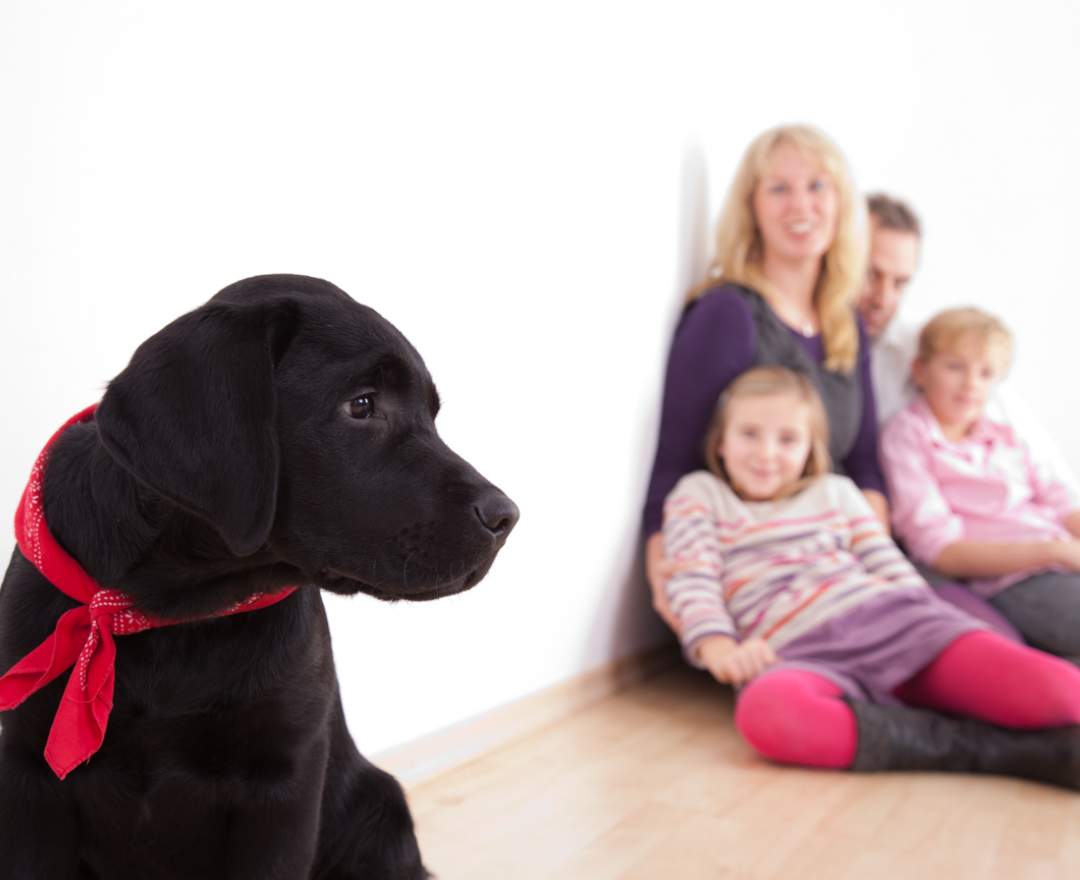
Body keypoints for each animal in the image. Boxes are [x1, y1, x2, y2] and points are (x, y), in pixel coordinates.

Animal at [0, 272, 518, 876]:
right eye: (362, 404)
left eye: (432, 414)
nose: (506, 517)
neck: (174, 611)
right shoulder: (29, 777)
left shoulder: (282, 783)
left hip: (379, 813)